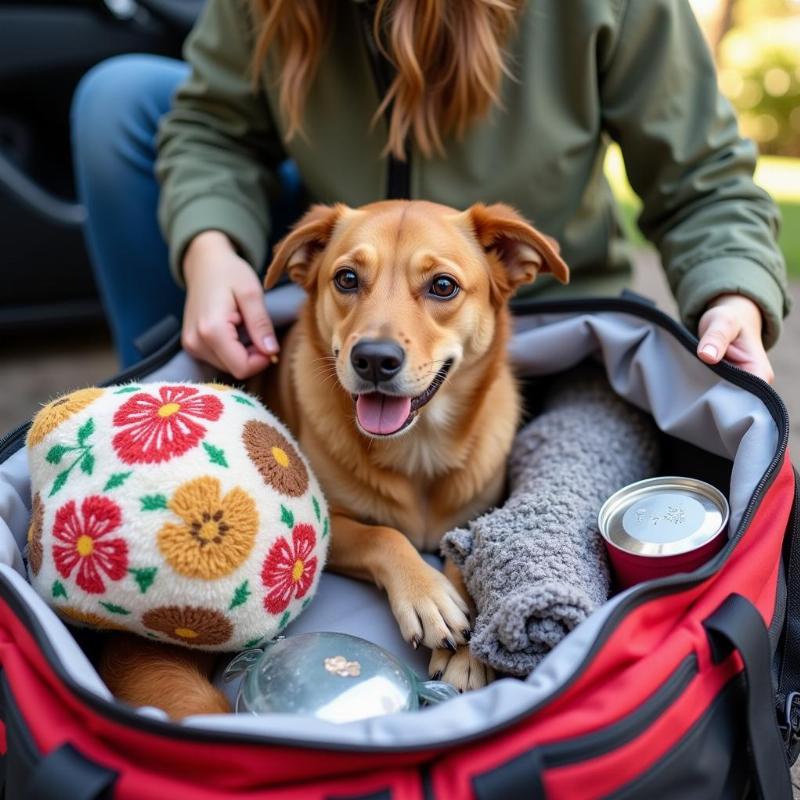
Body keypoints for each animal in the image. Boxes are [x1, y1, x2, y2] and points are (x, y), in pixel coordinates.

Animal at [101, 202, 568, 720]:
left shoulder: (474, 518)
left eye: (443, 286)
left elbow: (462, 557)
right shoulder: (328, 529)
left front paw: (467, 651)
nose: (374, 359)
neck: (418, 450)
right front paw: (426, 593)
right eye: (346, 278)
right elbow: (382, 536)